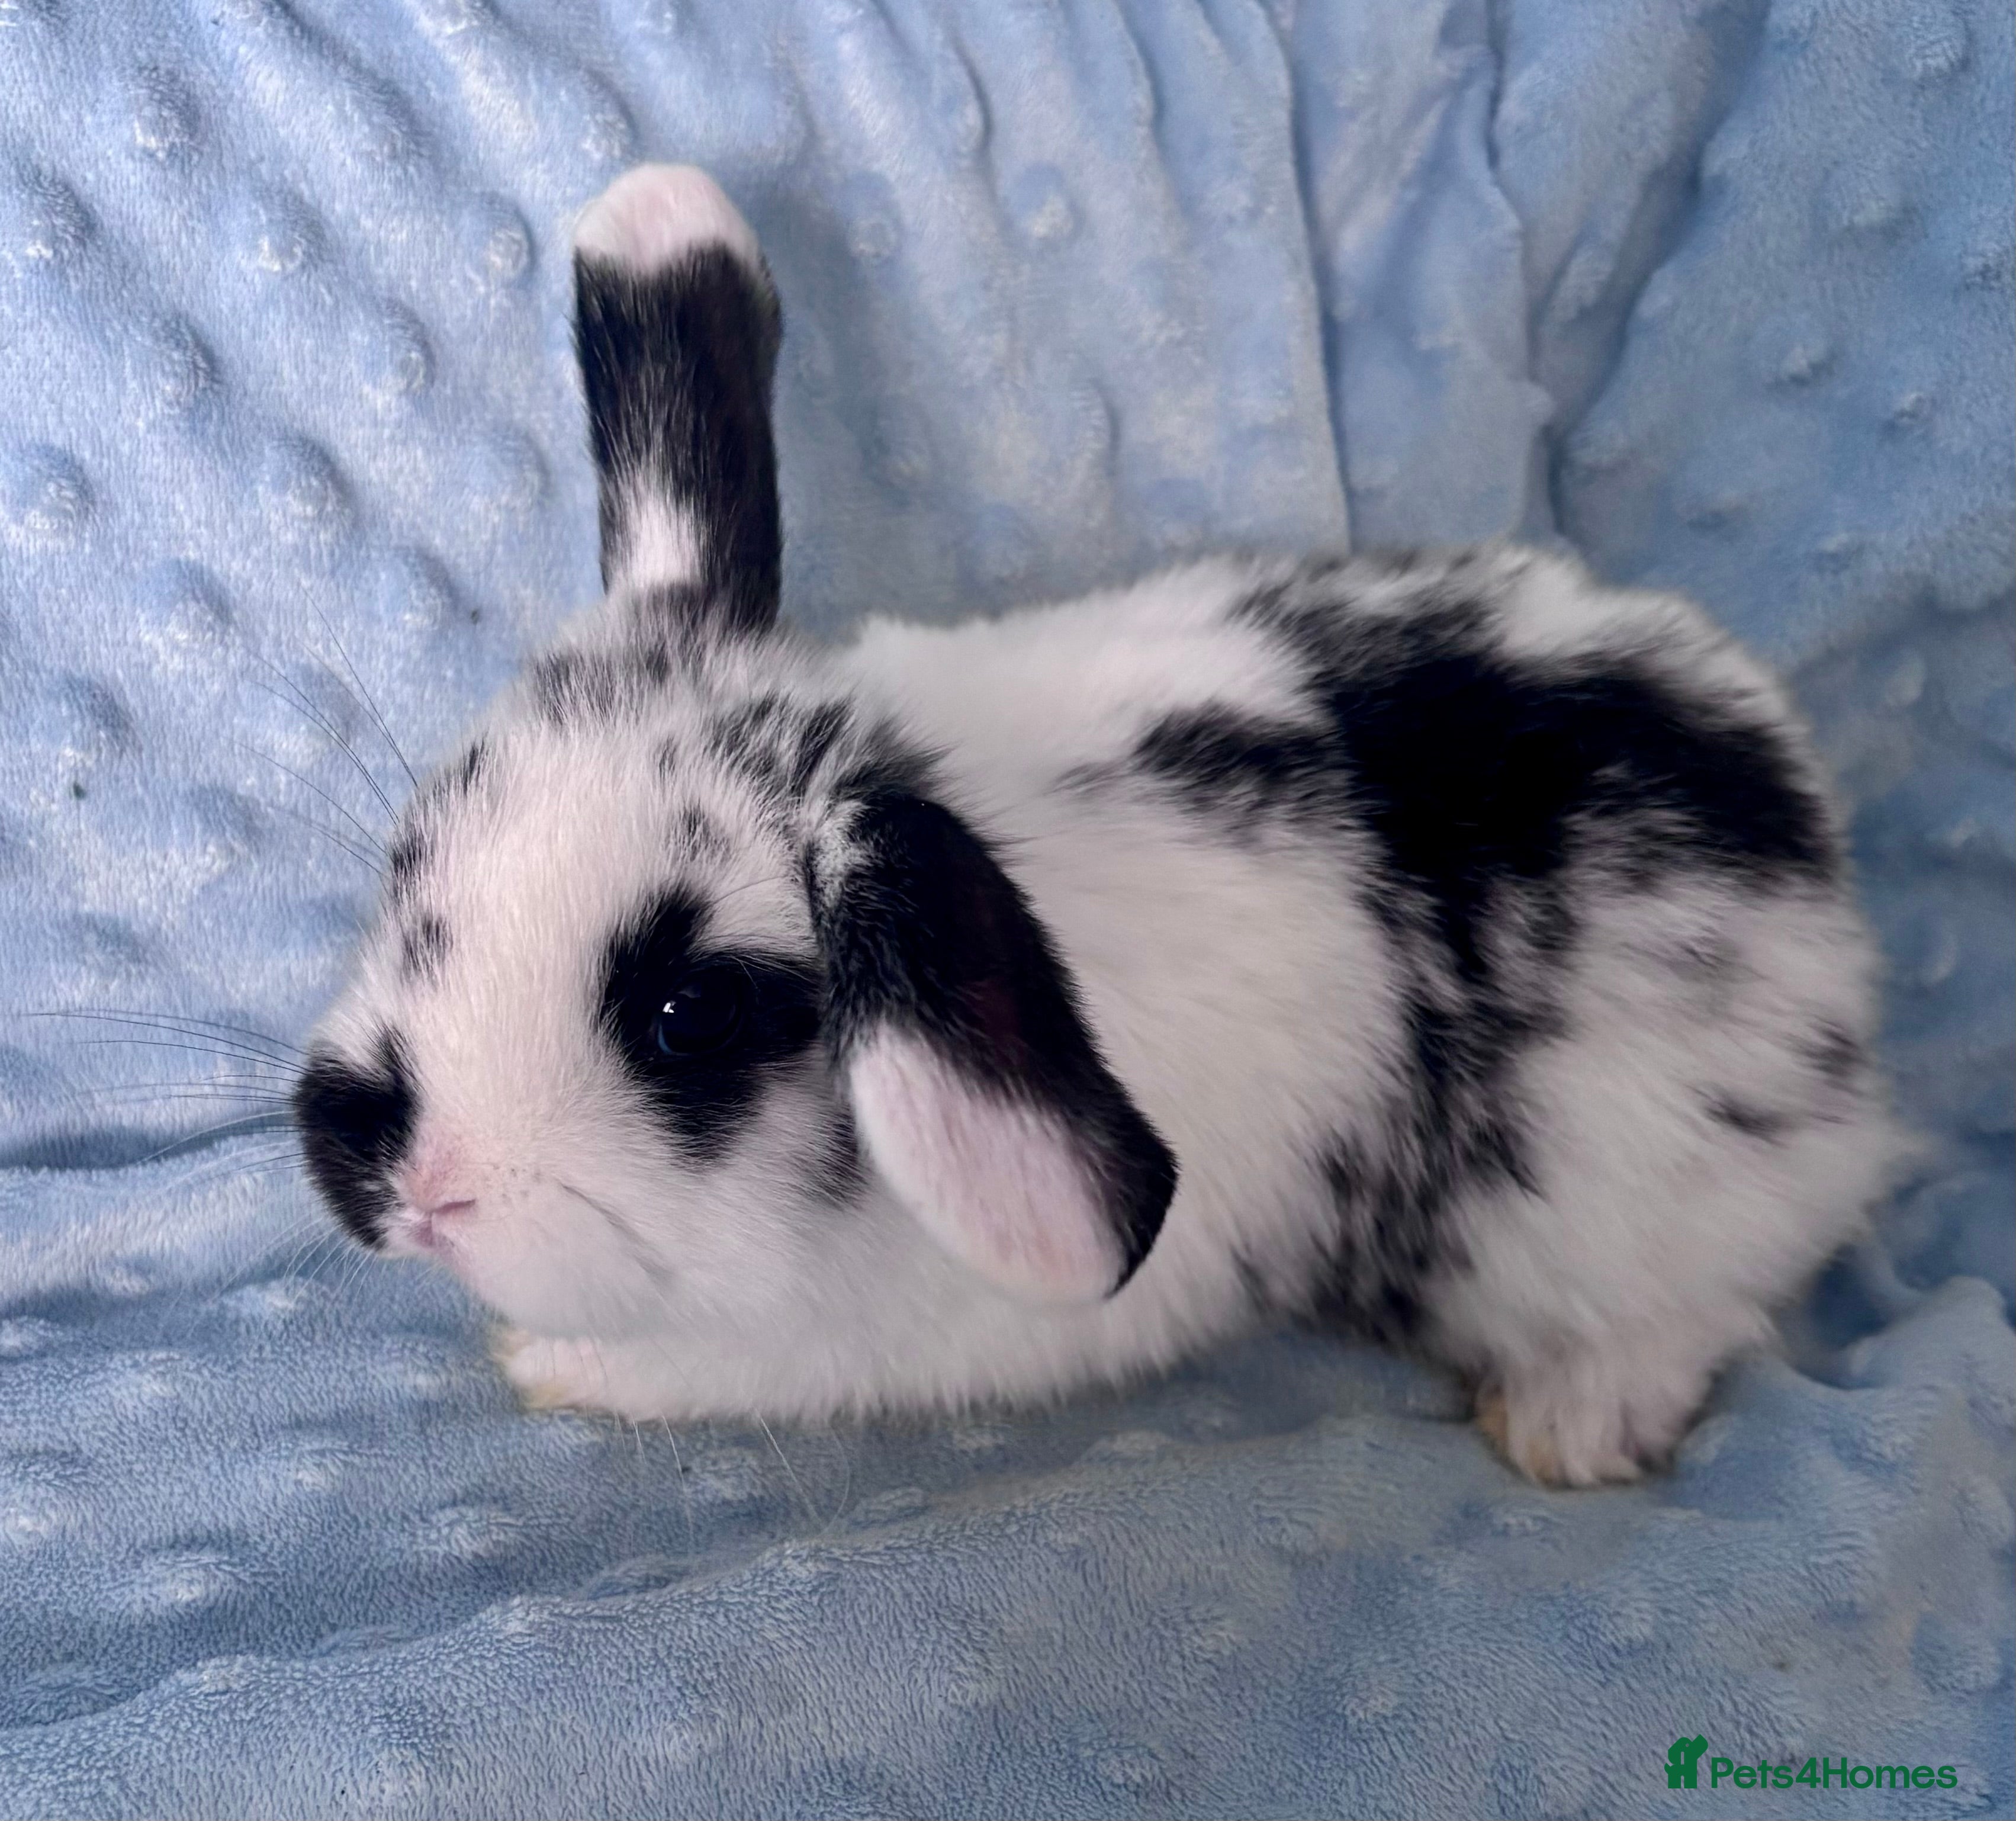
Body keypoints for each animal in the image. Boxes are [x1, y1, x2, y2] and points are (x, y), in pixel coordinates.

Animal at [291, 164, 1904, 1487]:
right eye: (410, 854)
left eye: (693, 1014)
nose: (412, 1181)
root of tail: (1818, 875)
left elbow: (680, 1365)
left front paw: (547, 1360)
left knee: (1710, 1294)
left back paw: (1572, 1423)